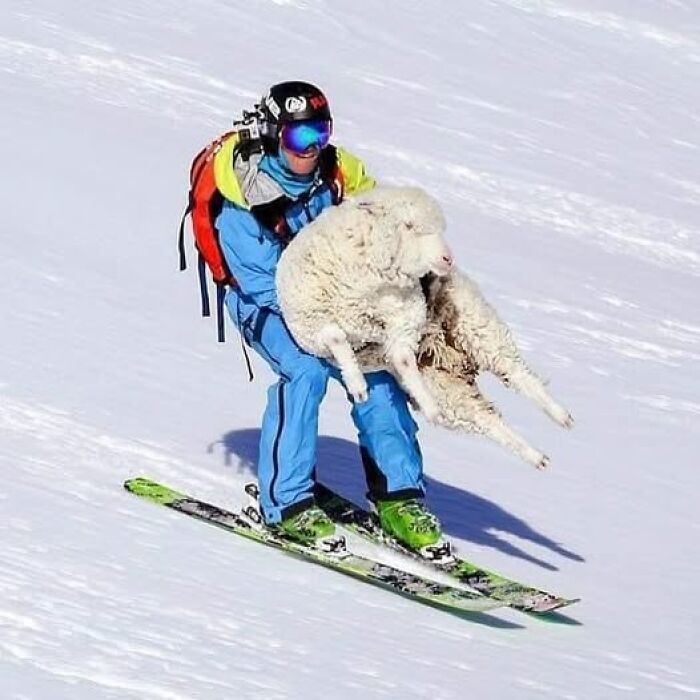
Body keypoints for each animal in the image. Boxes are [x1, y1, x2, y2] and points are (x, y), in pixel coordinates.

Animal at [276, 186, 453, 421]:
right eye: (408, 225)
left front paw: (431, 407)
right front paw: (357, 385)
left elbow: (405, 361)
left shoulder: (403, 322)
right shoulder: (314, 322)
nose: (448, 259)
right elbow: (337, 339)